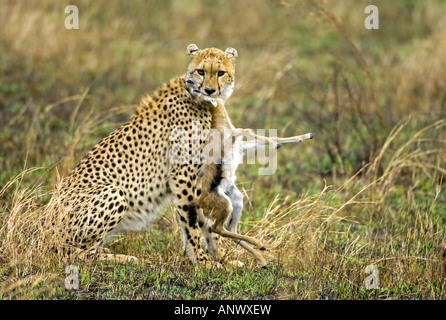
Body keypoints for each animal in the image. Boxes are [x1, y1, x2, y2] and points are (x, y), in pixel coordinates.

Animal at [45, 43, 240, 266]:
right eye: (201, 71)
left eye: (220, 73)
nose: (209, 90)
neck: (202, 101)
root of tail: (43, 231)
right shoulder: (182, 175)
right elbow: (191, 220)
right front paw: (202, 261)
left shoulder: (198, 177)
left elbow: (206, 221)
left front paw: (222, 258)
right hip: (114, 192)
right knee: (75, 254)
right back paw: (126, 259)